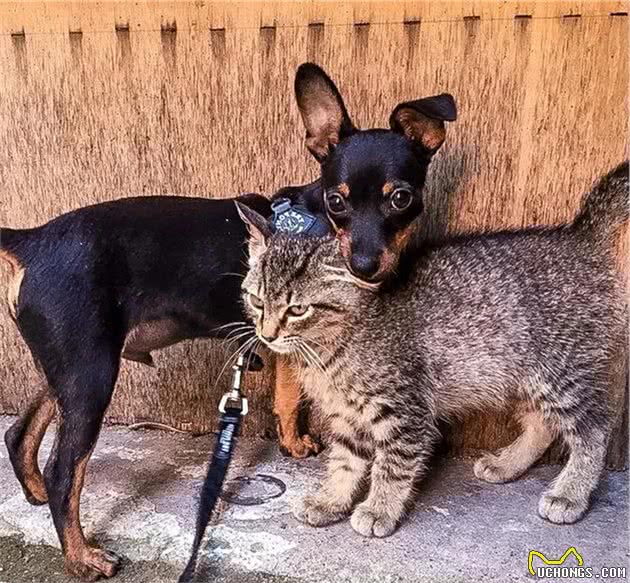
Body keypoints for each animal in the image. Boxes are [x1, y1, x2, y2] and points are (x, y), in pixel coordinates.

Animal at [0, 62, 456, 580]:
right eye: (337, 202)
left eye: (401, 198)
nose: (363, 265)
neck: (313, 225)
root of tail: (31, 240)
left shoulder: (289, 339)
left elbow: (286, 397)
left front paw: (292, 444)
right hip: (89, 375)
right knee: (64, 471)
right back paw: (81, 556)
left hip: (67, 368)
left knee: (19, 434)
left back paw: (36, 496)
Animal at [236, 162, 628, 540]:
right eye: (256, 301)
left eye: (297, 310)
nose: (266, 334)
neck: (329, 351)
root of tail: (578, 238)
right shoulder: (347, 416)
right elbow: (345, 460)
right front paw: (331, 500)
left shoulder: (405, 411)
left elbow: (393, 465)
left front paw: (378, 509)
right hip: (518, 372)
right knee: (542, 423)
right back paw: (506, 464)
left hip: (559, 372)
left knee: (595, 428)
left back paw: (570, 494)